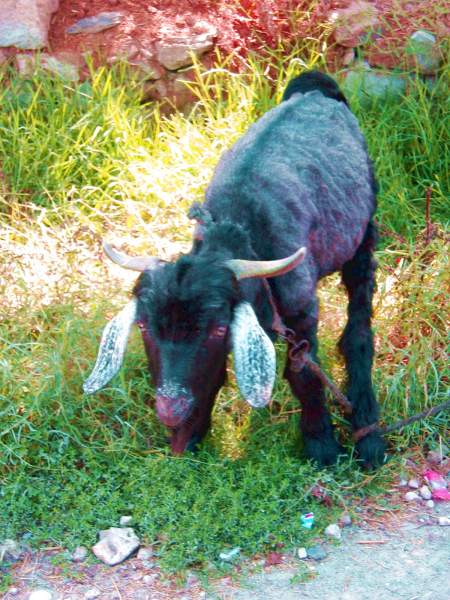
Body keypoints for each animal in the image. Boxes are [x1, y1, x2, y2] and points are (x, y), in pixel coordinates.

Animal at [84, 70, 386, 468]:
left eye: (217, 329)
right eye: (145, 327)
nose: (169, 411)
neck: (239, 230)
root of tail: (315, 91)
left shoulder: (301, 311)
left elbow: (305, 375)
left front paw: (321, 446)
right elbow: (211, 374)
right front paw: (189, 437)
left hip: (363, 237)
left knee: (359, 324)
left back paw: (368, 430)